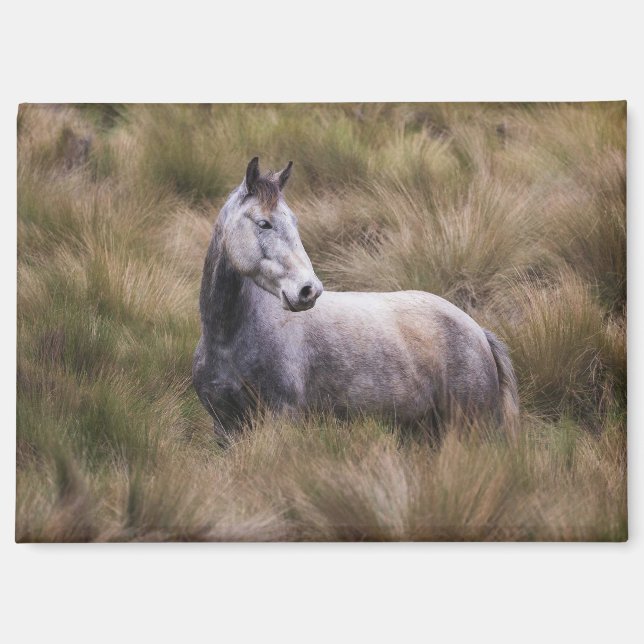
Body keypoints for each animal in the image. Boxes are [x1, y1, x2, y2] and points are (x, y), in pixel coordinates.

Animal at [192, 157, 519, 446]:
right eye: (264, 223)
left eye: (294, 221)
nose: (308, 290)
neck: (228, 338)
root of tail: (478, 332)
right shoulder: (224, 427)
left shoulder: (280, 418)